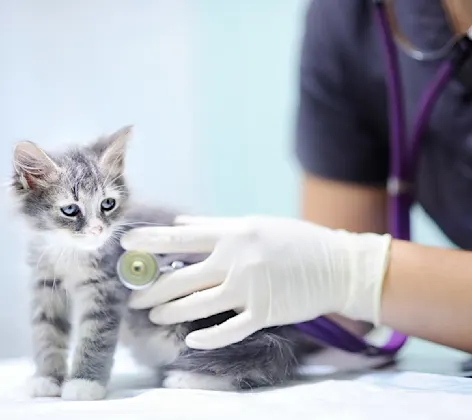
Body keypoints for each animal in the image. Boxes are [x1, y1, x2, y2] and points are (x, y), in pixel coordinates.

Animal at [10, 126, 314, 402]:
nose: (98, 230)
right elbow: (47, 333)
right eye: (71, 210)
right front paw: (47, 379)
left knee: (256, 367)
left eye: (107, 204)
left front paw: (84, 384)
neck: (70, 253)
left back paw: (186, 378)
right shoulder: (44, 284)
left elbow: (94, 337)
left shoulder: (107, 289)